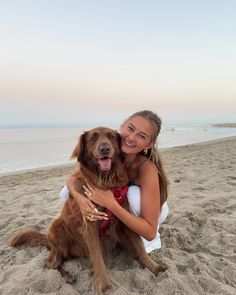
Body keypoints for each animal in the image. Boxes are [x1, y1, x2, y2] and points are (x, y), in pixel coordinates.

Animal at [8, 128, 166, 295]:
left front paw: (154, 267)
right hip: (59, 228)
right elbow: (97, 257)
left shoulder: (124, 219)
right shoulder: (90, 224)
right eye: (93, 138)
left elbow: (139, 247)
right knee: (50, 263)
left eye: (111, 136)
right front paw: (104, 284)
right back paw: (67, 274)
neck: (104, 181)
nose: (105, 149)